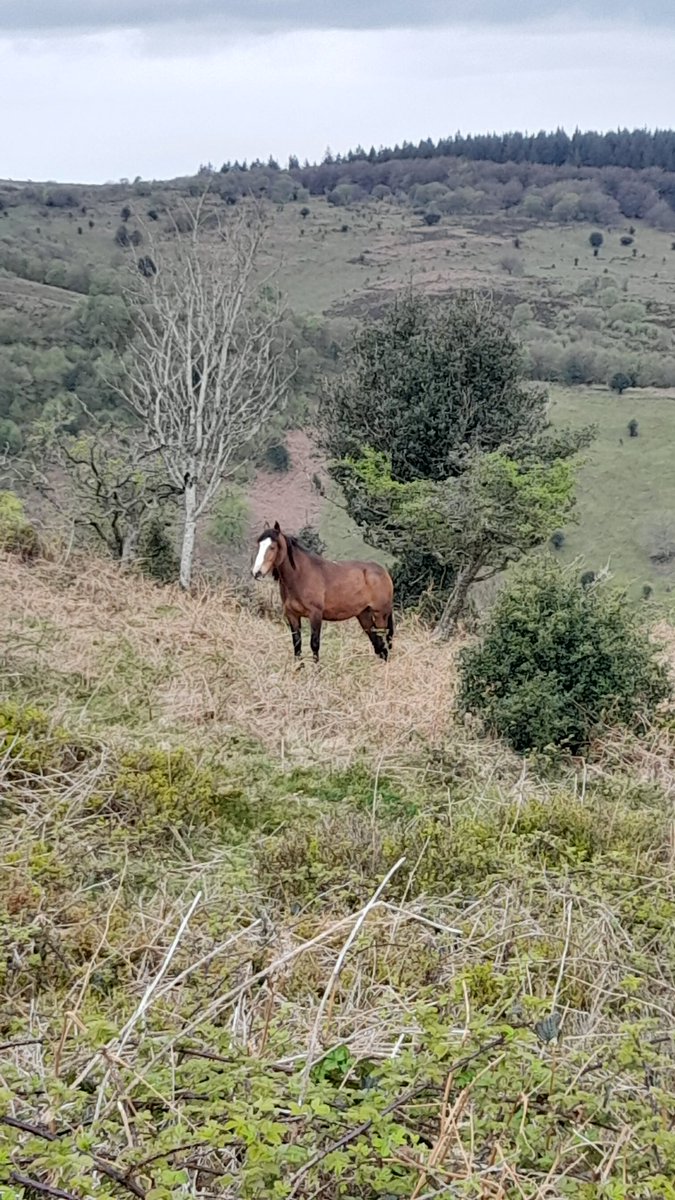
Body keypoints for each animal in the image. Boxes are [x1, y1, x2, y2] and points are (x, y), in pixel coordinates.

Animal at [252, 522, 394, 664]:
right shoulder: (292, 615)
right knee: (378, 645)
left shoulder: (315, 614)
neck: (301, 575)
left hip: (380, 615)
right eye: (259, 544)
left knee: (383, 643)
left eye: (272, 547)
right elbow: (297, 644)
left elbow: (314, 644)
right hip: (364, 615)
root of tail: (383, 572)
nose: (256, 572)